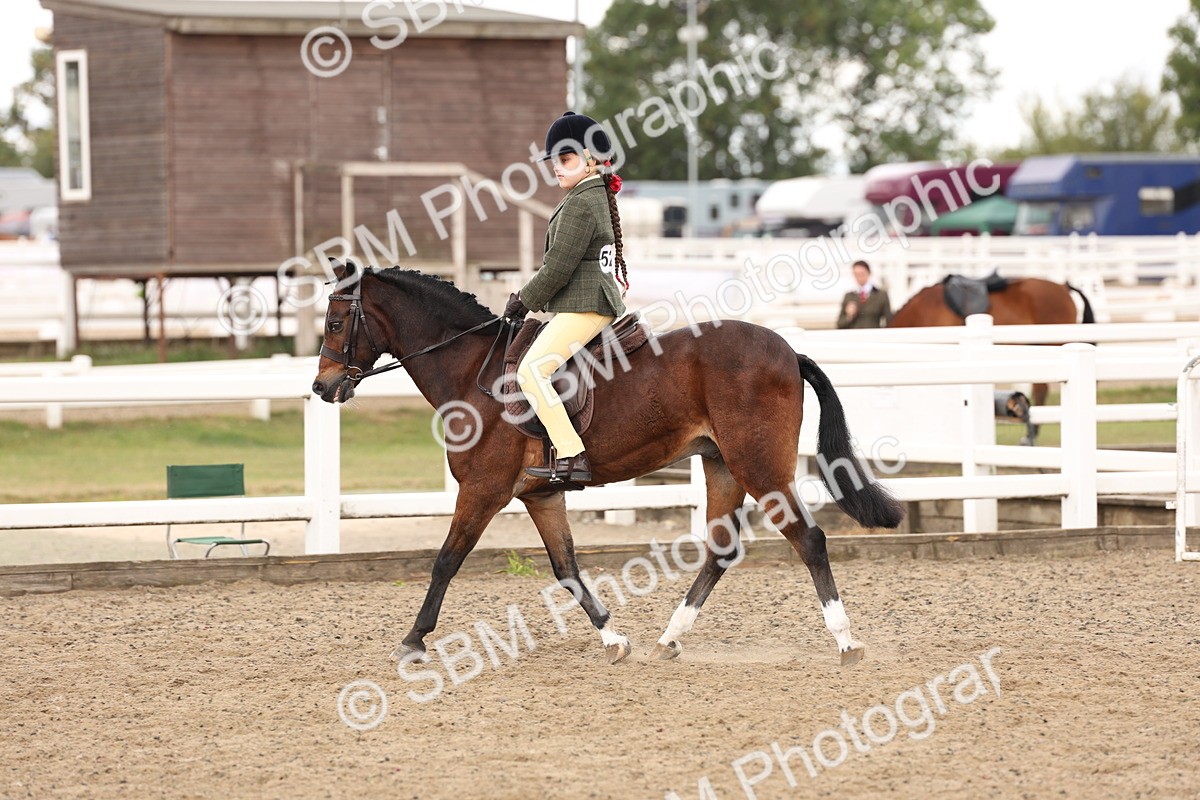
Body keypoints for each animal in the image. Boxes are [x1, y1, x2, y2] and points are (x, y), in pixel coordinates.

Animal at [311, 260, 903, 667]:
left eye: (337, 323)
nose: (321, 387)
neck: (470, 370)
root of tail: (787, 350)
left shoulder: (482, 490)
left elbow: (445, 562)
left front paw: (412, 640)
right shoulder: (541, 494)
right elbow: (567, 569)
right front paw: (614, 639)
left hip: (760, 467)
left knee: (809, 540)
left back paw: (846, 642)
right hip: (723, 467)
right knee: (719, 551)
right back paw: (669, 639)